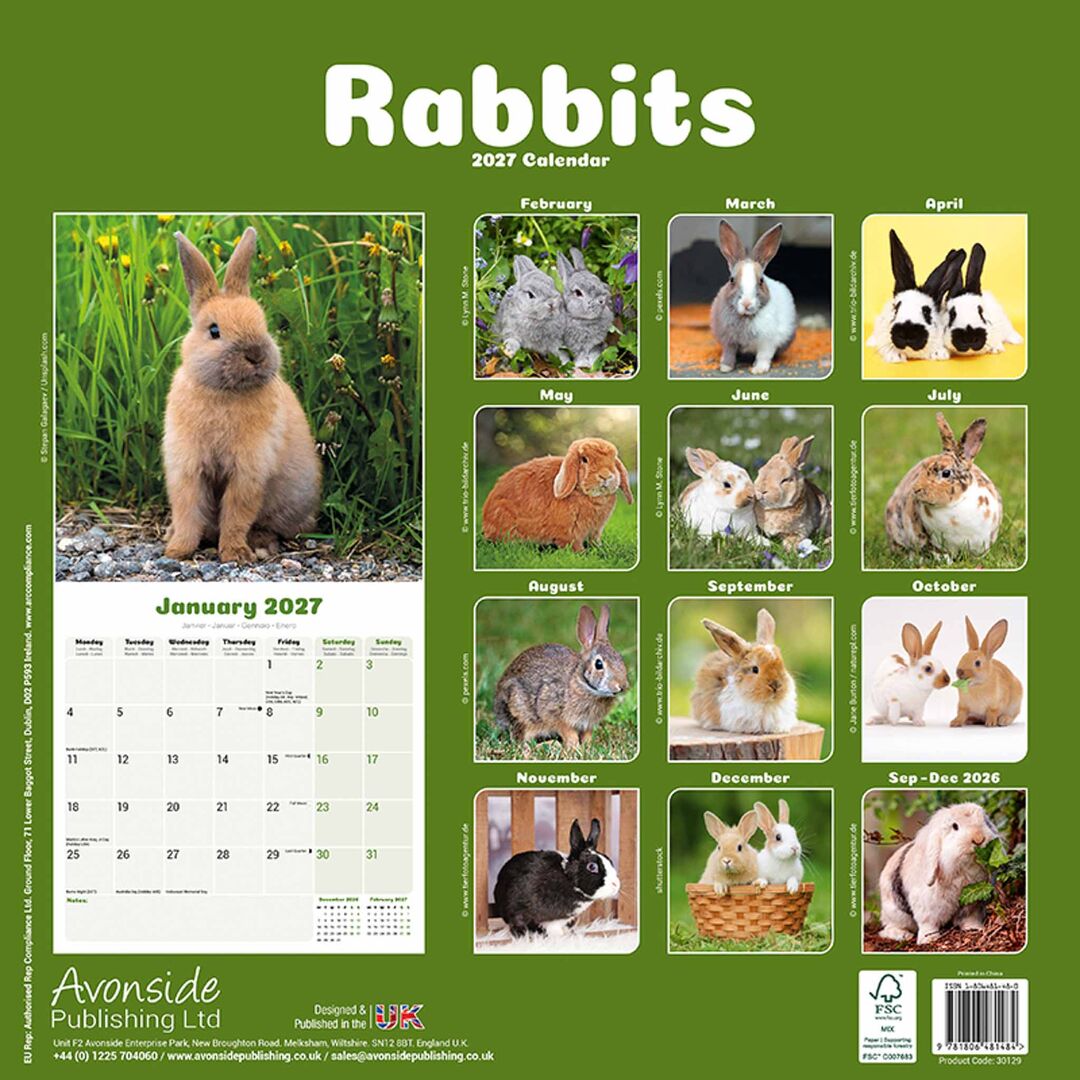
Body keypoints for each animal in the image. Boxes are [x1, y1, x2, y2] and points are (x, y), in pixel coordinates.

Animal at [163, 228, 321, 564]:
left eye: (262, 323)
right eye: (214, 331)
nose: (256, 354)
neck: (225, 392)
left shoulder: (248, 471)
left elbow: (237, 514)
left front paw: (235, 553)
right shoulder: (187, 468)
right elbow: (187, 511)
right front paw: (177, 549)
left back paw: (261, 543)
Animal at [481, 437, 633, 553]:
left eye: (613, 459)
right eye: (584, 459)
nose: (606, 476)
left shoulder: (596, 531)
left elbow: (594, 540)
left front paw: (599, 548)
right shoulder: (570, 532)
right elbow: (572, 543)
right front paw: (582, 554)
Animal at [492, 604, 629, 752]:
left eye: (620, 658)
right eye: (599, 664)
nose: (622, 686)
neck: (582, 683)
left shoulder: (588, 724)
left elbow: (587, 735)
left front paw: (587, 747)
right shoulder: (556, 714)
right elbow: (568, 732)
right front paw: (574, 747)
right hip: (521, 714)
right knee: (522, 741)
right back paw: (551, 745)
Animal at [709, 220, 797, 374]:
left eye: (761, 281)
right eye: (731, 280)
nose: (747, 303)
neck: (745, 317)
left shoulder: (768, 342)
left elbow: (764, 356)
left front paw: (758, 370)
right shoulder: (728, 341)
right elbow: (729, 354)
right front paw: (725, 367)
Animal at [878, 802, 999, 944]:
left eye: (985, 822)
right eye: (955, 826)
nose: (979, 839)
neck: (963, 870)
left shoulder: (972, 904)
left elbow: (970, 918)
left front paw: (975, 928)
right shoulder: (927, 907)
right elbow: (928, 924)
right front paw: (928, 940)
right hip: (897, 914)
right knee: (887, 929)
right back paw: (903, 935)